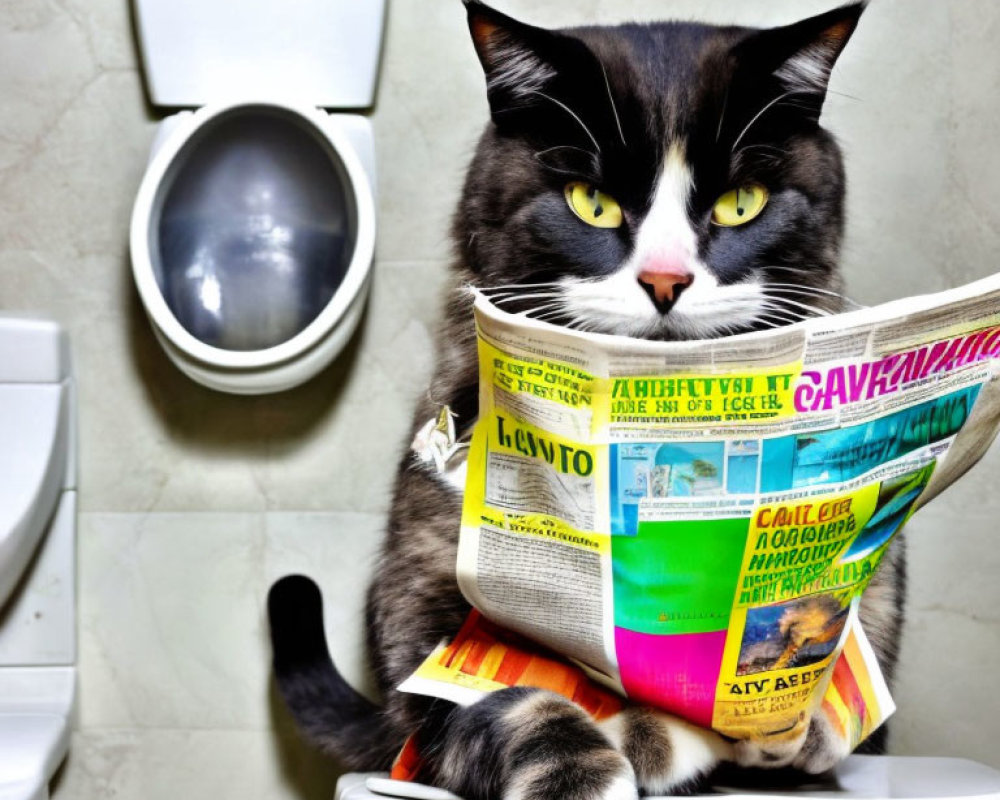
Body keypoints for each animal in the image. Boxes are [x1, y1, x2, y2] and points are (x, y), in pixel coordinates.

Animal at [268, 3, 908, 796]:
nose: (666, 279)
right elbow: (506, 698)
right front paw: (594, 762)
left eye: (741, 203)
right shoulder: (425, 634)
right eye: (591, 203)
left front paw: (783, 719)